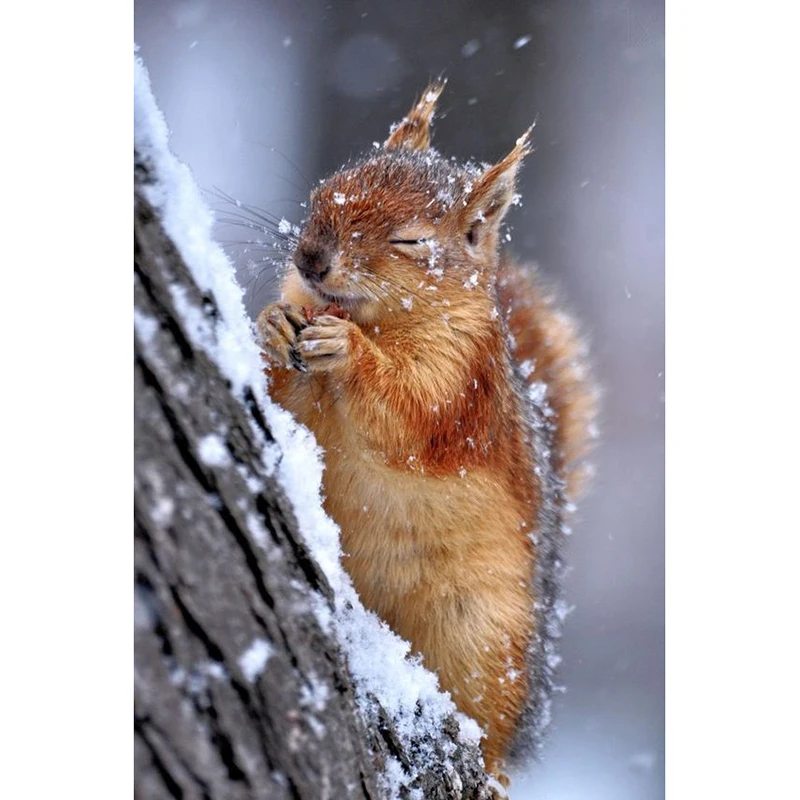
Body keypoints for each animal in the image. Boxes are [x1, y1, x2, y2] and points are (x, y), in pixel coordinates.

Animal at [256, 81, 596, 786]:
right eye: (327, 187)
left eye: (411, 241)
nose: (310, 258)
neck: (374, 319)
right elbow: (286, 391)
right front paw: (274, 324)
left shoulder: (461, 383)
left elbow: (410, 413)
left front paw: (350, 353)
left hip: (480, 636)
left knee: (490, 732)